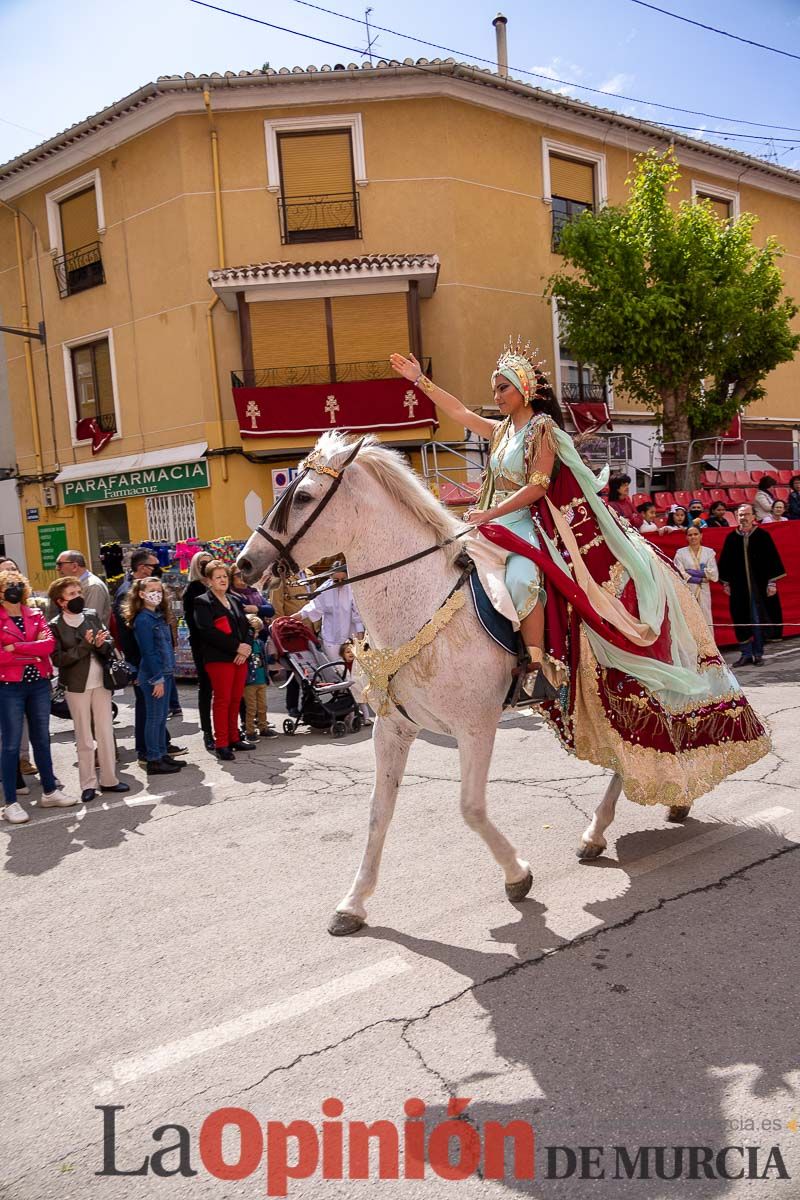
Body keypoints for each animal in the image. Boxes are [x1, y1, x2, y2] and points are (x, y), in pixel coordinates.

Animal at [237, 432, 623, 936]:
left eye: (301, 497)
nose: (245, 563)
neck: (421, 603)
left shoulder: (476, 727)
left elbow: (471, 808)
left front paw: (517, 873)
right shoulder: (392, 728)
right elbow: (378, 812)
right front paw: (353, 903)